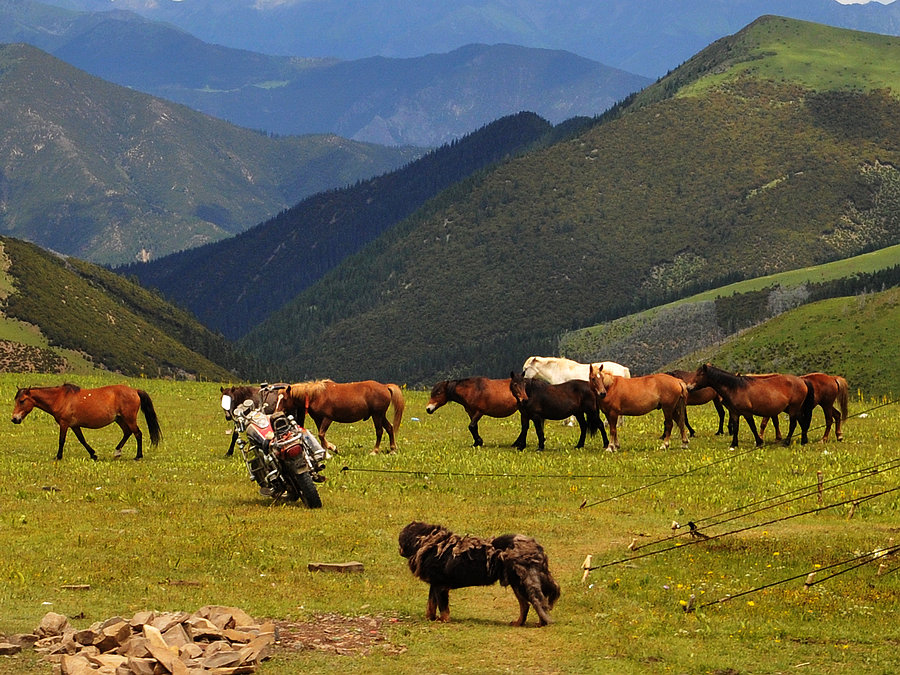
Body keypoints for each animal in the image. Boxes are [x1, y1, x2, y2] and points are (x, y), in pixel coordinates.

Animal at [11, 382, 163, 462]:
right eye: (16, 400)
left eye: (22, 401)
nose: (14, 419)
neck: (60, 398)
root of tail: (135, 391)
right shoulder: (74, 425)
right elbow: (82, 440)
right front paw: (93, 454)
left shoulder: (64, 424)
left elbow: (61, 440)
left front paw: (58, 456)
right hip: (120, 419)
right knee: (127, 433)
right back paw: (117, 452)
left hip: (129, 418)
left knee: (137, 433)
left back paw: (138, 456)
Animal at [400, 524, 560, 628]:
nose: (399, 550)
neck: (432, 543)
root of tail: (537, 548)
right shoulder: (434, 586)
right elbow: (430, 606)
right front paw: (430, 619)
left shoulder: (440, 587)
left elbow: (443, 608)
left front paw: (443, 621)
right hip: (517, 584)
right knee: (526, 604)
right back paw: (519, 623)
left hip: (524, 583)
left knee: (537, 602)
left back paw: (541, 623)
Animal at [688, 362, 816, 452]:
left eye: (700, 374)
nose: (689, 387)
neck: (735, 387)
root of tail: (802, 380)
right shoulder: (735, 413)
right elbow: (736, 428)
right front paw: (734, 444)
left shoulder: (747, 413)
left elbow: (753, 427)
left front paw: (759, 442)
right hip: (796, 409)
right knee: (802, 423)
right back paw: (804, 441)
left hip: (794, 408)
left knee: (793, 424)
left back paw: (787, 442)